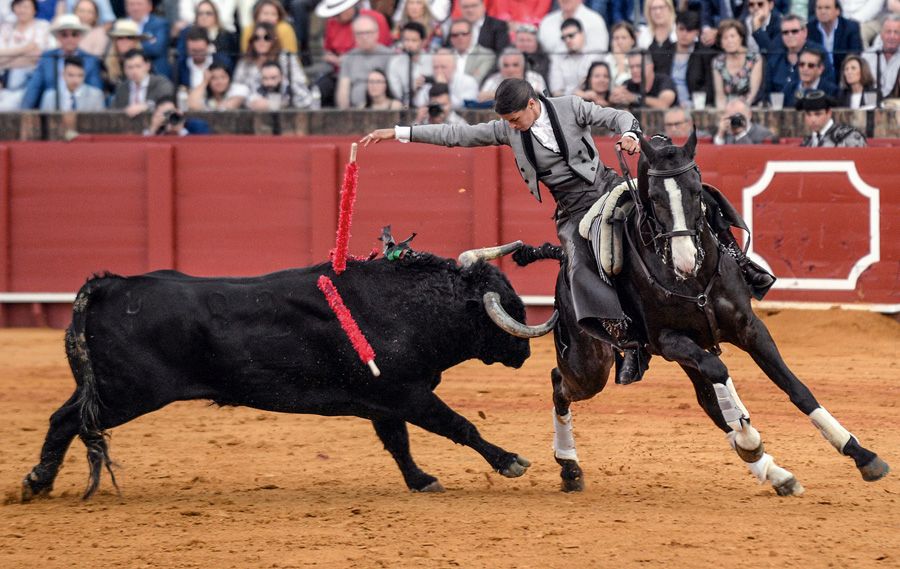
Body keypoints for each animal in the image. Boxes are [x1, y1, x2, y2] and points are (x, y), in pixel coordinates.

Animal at [21, 242, 556, 500]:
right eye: (510, 305)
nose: (524, 354)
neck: (408, 307)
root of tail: (108, 284)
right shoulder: (409, 394)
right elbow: (458, 426)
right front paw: (510, 461)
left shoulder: (386, 403)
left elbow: (398, 445)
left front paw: (422, 480)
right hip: (126, 394)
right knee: (68, 421)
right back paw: (35, 482)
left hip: (104, 389)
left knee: (62, 419)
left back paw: (39, 482)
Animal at [486, 131, 884, 494]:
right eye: (655, 198)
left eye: (696, 190)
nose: (685, 261)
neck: (694, 281)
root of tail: (561, 260)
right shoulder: (669, 341)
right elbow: (722, 373)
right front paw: (751, 439)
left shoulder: (749, 328)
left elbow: (795, 388)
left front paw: (861, 454)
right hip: (591, 364)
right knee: (560, 383)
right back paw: (570, 468)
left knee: (708, 401)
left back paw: (776, 473)